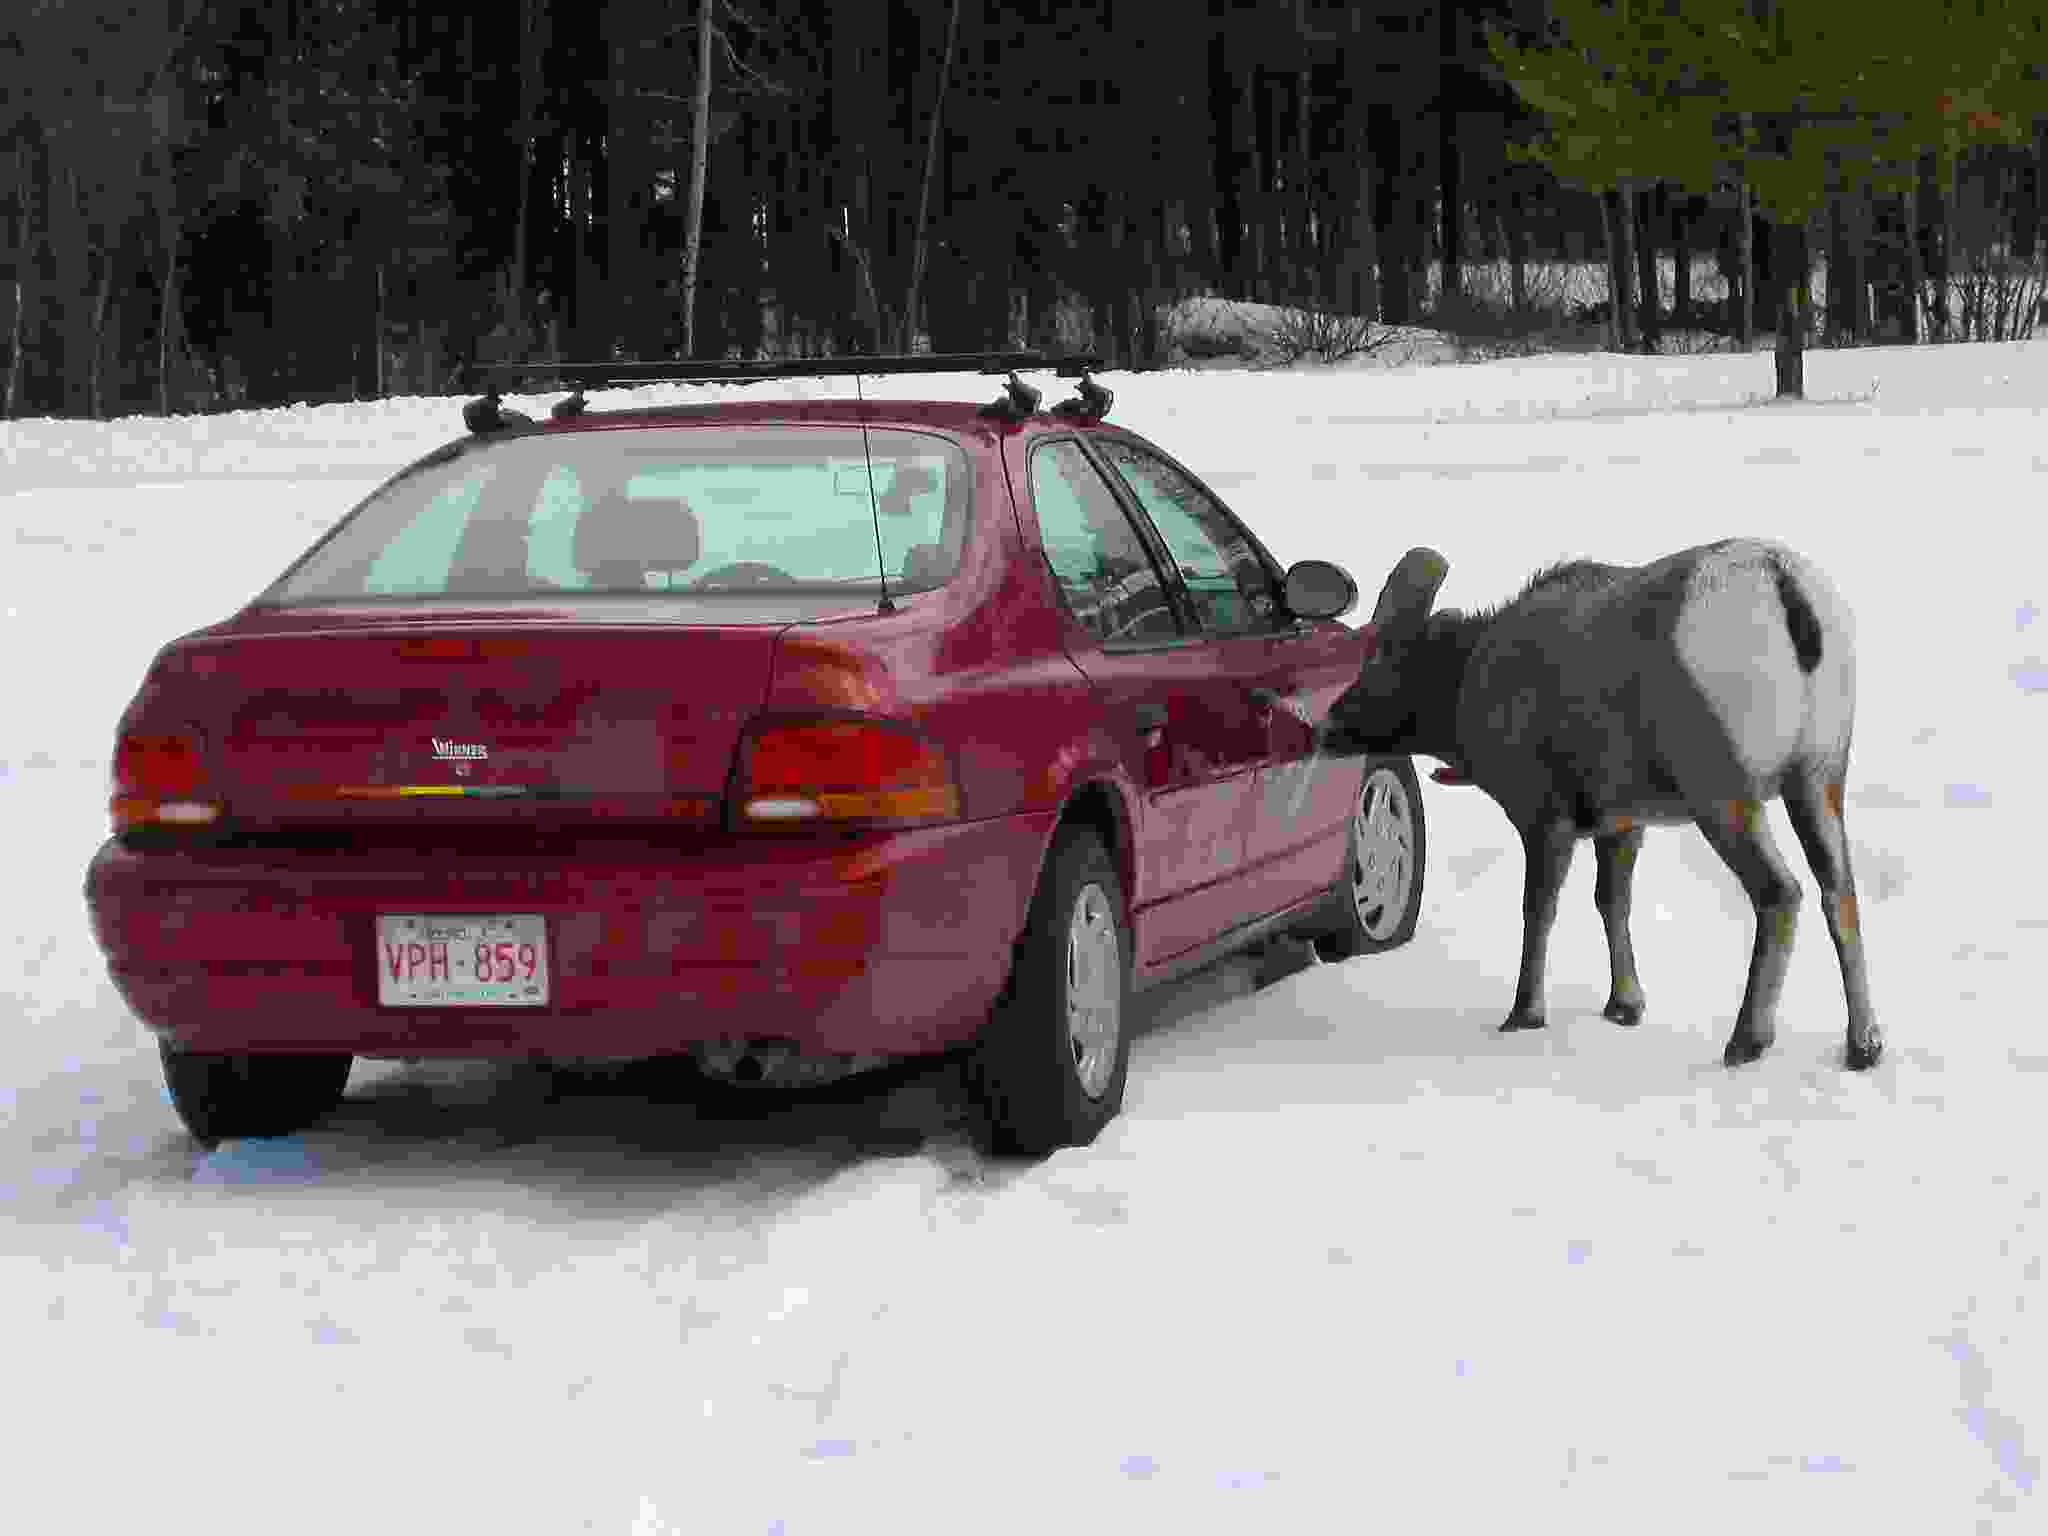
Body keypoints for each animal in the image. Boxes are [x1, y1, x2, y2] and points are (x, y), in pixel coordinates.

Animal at [1318, 540, 1875, 1073]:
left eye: (1383, 661)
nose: (1328, 725)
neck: (1473, 682)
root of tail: (1781, 581)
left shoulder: (1546, 824)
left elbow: (1539, 912)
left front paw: (1524, 1015)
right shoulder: (1622, 826)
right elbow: (1612, 902)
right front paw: (1624, 1007)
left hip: (1725, 802)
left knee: (1781, 894)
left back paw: (1746, 1042)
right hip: (1817, 784)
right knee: (1839, 894)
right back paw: (1863, 1047)